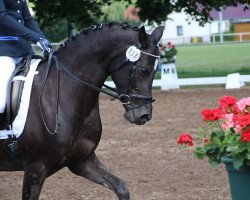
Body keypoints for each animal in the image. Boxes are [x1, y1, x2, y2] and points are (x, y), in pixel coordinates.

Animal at [0, 22, 164, 200]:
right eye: (144, 70)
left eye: (156, 71)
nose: (144, 115)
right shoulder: (35, 167)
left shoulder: (82, 160)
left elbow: (121, 187)